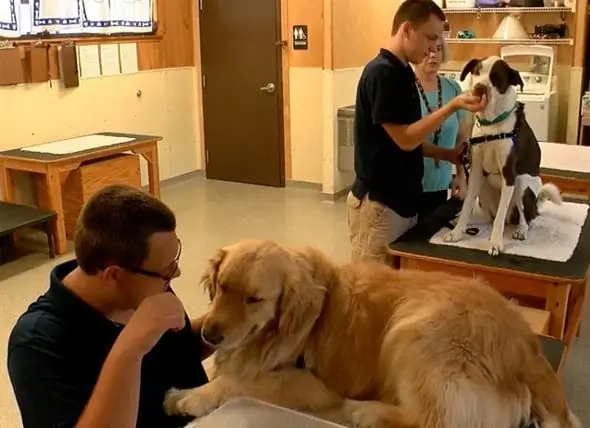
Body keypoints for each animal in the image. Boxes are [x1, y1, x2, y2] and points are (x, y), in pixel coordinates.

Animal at [444, 57, 564, 258]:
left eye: (496, 77)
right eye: (476, 72)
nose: (479, 88)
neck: (491, 125)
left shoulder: (509, 174)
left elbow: (500, 217)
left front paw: (495, 243)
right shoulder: (475, 170)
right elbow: (468, 204)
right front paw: (457, 231)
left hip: (522, 184)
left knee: (522, 218)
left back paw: (521, 230)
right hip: (484, 187)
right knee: (489, 216)